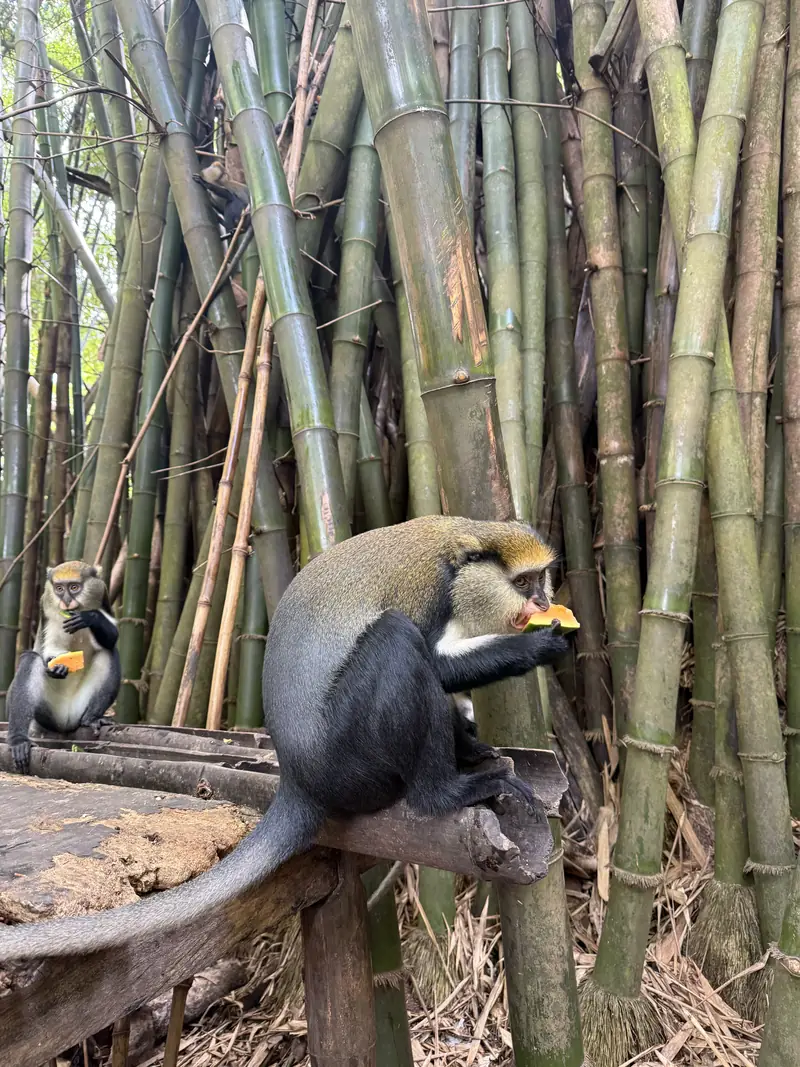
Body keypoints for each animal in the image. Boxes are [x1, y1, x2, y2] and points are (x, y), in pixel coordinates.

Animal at [6, 561, 120, 776]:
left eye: (74, 587)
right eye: (59, 589)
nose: (66, 601)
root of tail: (65, 722)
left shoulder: (103, 595)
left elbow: (112, 639)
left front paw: (91, 617)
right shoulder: (47, 607)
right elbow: (49, 649)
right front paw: (57, 666)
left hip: (78, 709)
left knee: (108, 652)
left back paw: (92, 718)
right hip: (48, 714)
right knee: (30, 659)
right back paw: (19, 740)